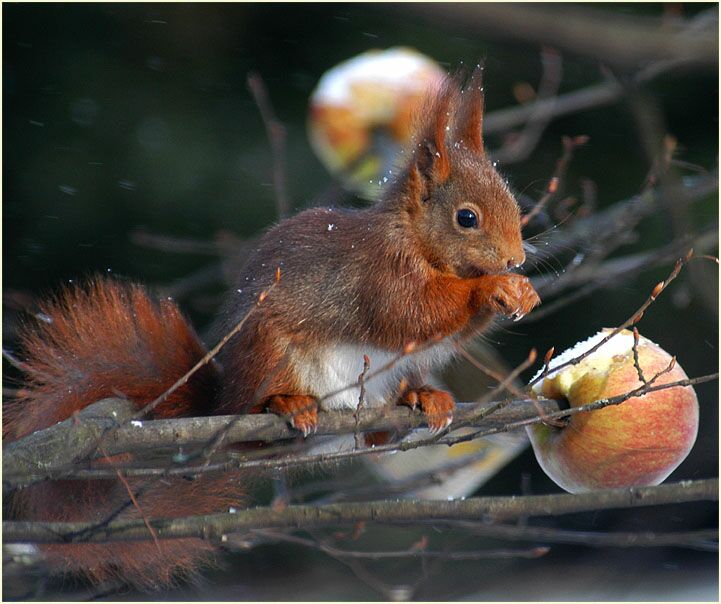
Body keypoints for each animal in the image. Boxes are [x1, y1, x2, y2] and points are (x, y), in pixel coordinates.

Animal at [2, 67, 536, 588]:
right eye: (466, 217)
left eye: (514, 204)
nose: (516, 259)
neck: (413, 239)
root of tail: (224, 404)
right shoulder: (379, 276)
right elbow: (414, 312)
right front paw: (491, 288)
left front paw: (522, 292)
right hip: (271, 352)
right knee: (262, 421)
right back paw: (287, 405)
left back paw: (422, 398)